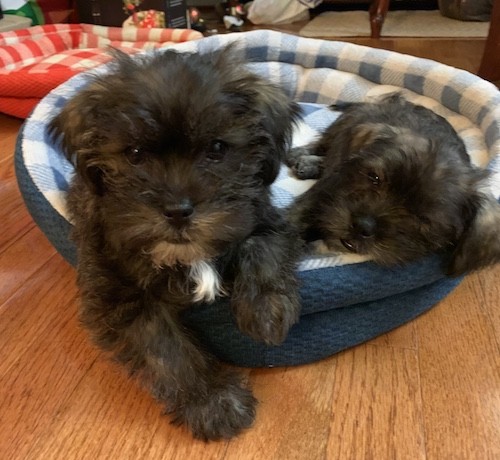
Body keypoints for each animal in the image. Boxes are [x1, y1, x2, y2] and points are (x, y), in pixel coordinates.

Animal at [49, 48, 300, 440]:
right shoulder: (120, 298)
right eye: (135, 153)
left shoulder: (263, 215)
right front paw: (214, 402)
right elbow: (167, 350)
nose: (178, 211)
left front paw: (266, 310)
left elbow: (262, 246)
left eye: (217, 148)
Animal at [288, 93, 500, 274]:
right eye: (374, 178)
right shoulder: (321, 194)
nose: (362, 226)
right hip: (345, 123)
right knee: (322, 143)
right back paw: (300, 156)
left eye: (423, 219)